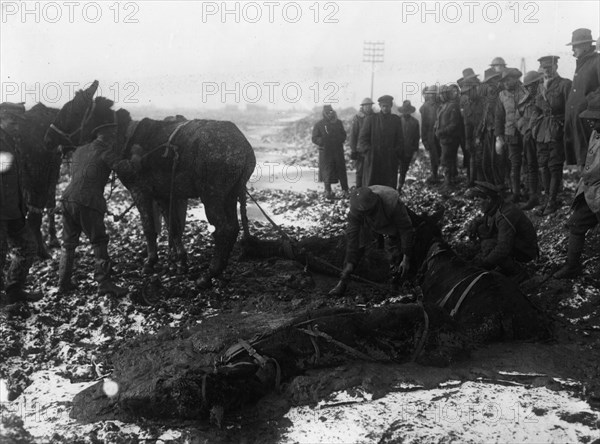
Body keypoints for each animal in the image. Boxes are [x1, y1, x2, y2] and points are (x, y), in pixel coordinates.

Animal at [77, 97, 255, 288]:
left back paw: (209, 274)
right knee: (233, 228)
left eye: (79, 112)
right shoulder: (162, 195)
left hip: (212, 197)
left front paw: (150, 262)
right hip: (230, 195)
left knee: (223, 230)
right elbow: (173, 227)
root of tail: (242, 146)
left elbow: (149, 228)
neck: (125, 138)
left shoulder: (140, 192)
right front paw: (180, 262)